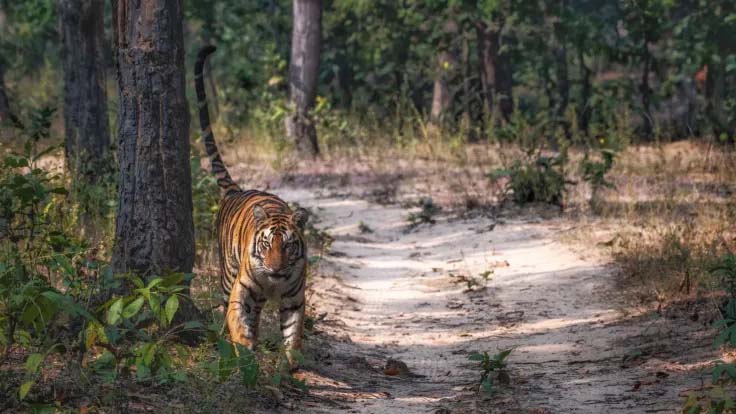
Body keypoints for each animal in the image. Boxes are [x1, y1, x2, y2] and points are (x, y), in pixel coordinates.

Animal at [195, 45, 309, 368]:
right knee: (225, 309)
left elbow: (293, 334)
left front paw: (292, 366)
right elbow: (237, 321)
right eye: (267, 244)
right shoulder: (242, 290)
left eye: (288, 246)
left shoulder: (294, 299)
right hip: (226, 273)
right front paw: (244, 352)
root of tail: (238, 191)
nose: (275, 268)